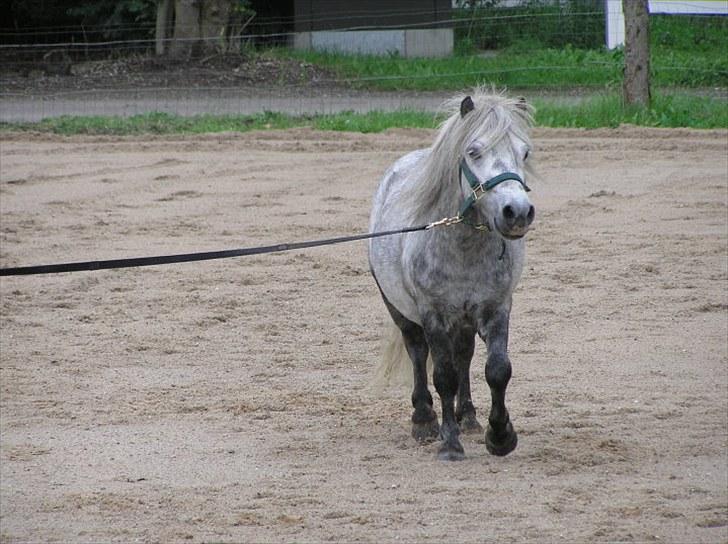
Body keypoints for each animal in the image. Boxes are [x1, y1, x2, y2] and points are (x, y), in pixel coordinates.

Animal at [370, 91, 536, 462]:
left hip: (464, 320)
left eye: (525, 152)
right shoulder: (433, 313)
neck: (463, 247)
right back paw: (424, 419)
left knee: (464, 356)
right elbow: (443, 375)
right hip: (400, 309)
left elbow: (497, 370)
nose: (517, 212)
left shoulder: (497, 308)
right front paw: (449, 443)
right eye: (473, 152)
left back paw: (468, 416)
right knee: (418, 353)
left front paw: (500, 435)